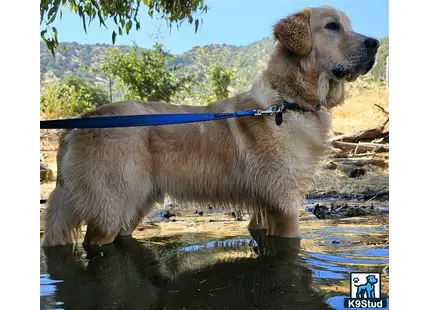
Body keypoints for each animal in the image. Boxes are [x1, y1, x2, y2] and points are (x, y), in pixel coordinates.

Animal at [42, 5, 380, 247]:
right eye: (332, 26)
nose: (376, 42)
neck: (289, 103)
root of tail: (77, 125)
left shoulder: (263, 209)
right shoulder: (285, 206)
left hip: (134, 205)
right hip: (111, 208)